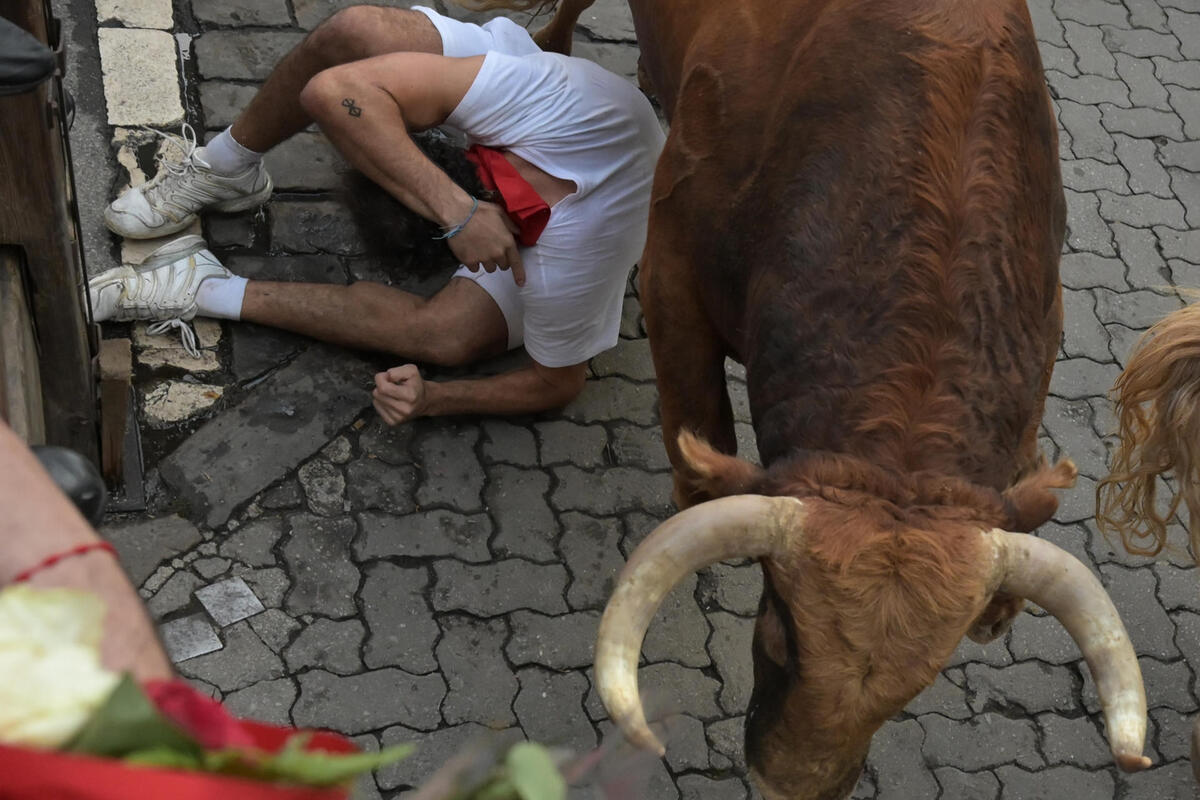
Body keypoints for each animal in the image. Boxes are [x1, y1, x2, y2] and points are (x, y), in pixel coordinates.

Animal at [463, 0, 1147, 796]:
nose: (788, 785)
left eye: (922, 681)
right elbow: (701, 448)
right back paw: (552, 43)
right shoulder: (671, 271)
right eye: (778, 634)